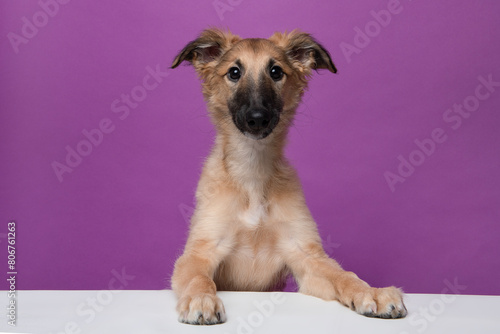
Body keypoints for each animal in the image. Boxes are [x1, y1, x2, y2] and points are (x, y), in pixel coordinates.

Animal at [170, 28, 408, 326]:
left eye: (276, 71)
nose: (257, 118)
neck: (254, 173)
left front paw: (372, 292)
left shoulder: (306, 254)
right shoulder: (200, 252)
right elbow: (199, 278)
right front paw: (201, 299)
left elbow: (345, 275)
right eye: (234, 72)